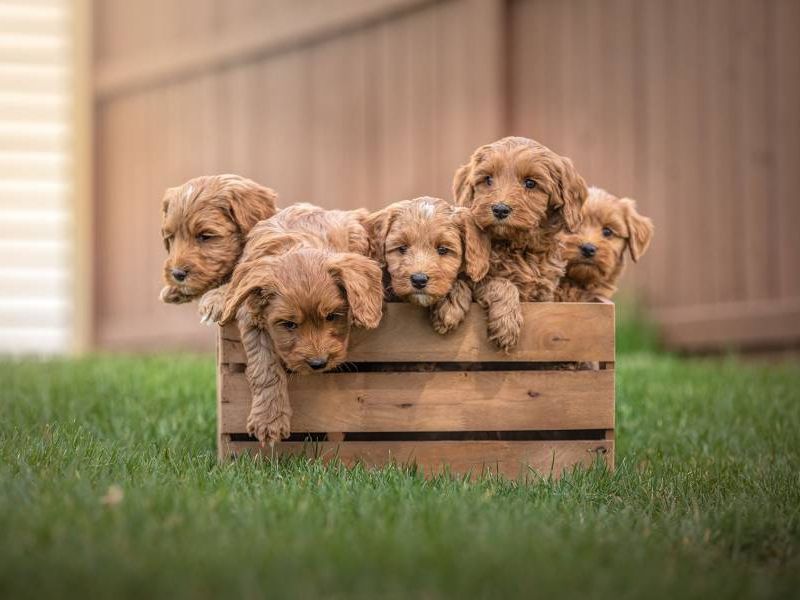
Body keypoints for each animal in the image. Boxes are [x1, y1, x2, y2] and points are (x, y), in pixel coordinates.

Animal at [217, 204, 382, 442]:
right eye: (289, 324)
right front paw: (269, 420)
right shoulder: (251, 318)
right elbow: (264, 368)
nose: (318, 363)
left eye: (332, 316)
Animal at [456, 137, 588, 352]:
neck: (517, 247)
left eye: (530, 183)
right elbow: (500, 283)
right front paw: (507, 324)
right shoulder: (475, 276)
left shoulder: (544, 293)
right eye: (488, 179)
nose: (500, 209)